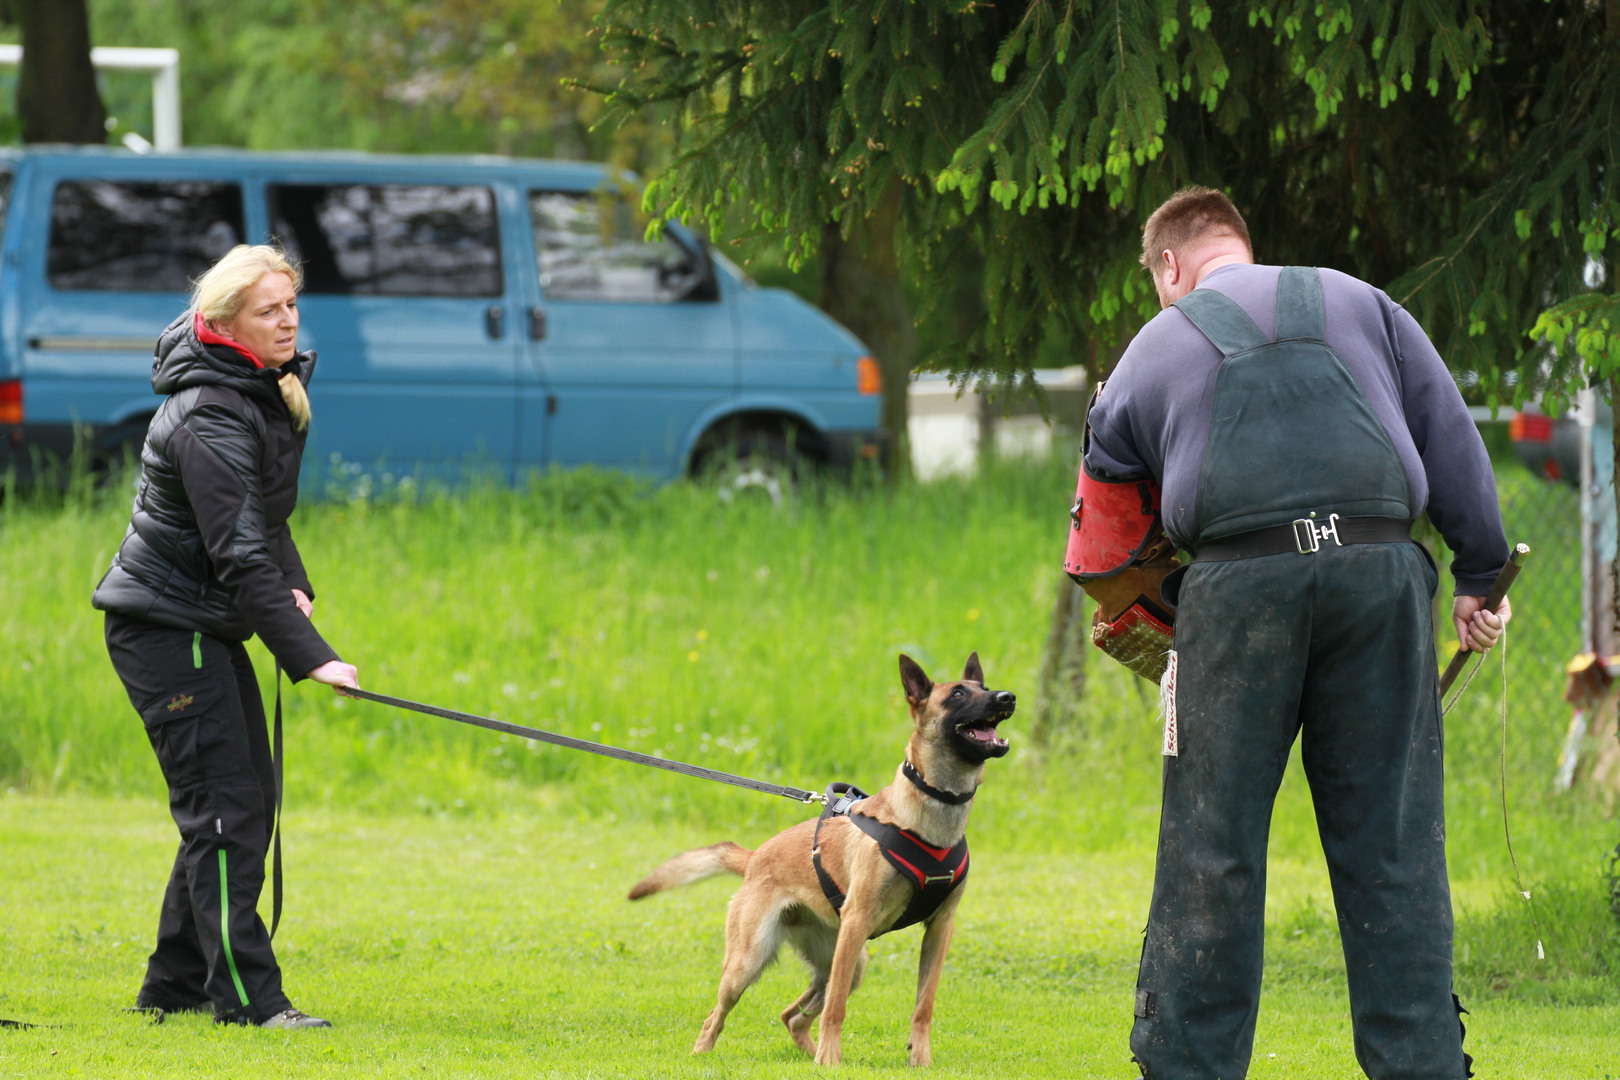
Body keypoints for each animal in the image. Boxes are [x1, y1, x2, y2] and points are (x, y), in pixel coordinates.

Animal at [627, 652, 1014, 1066]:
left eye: (985, 688)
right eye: (957, 694)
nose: (1007, 697)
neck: (928, 817)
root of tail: (755, 857)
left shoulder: (940, 929)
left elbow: (923, 1006)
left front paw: (919, 1060)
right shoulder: (857, 921)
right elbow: (837, 1007)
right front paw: (831, 1057)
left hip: (848, 959)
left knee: (793, 1016)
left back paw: (811, 1056)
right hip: (753, 960)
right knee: (717, 1015)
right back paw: (710, 1054)